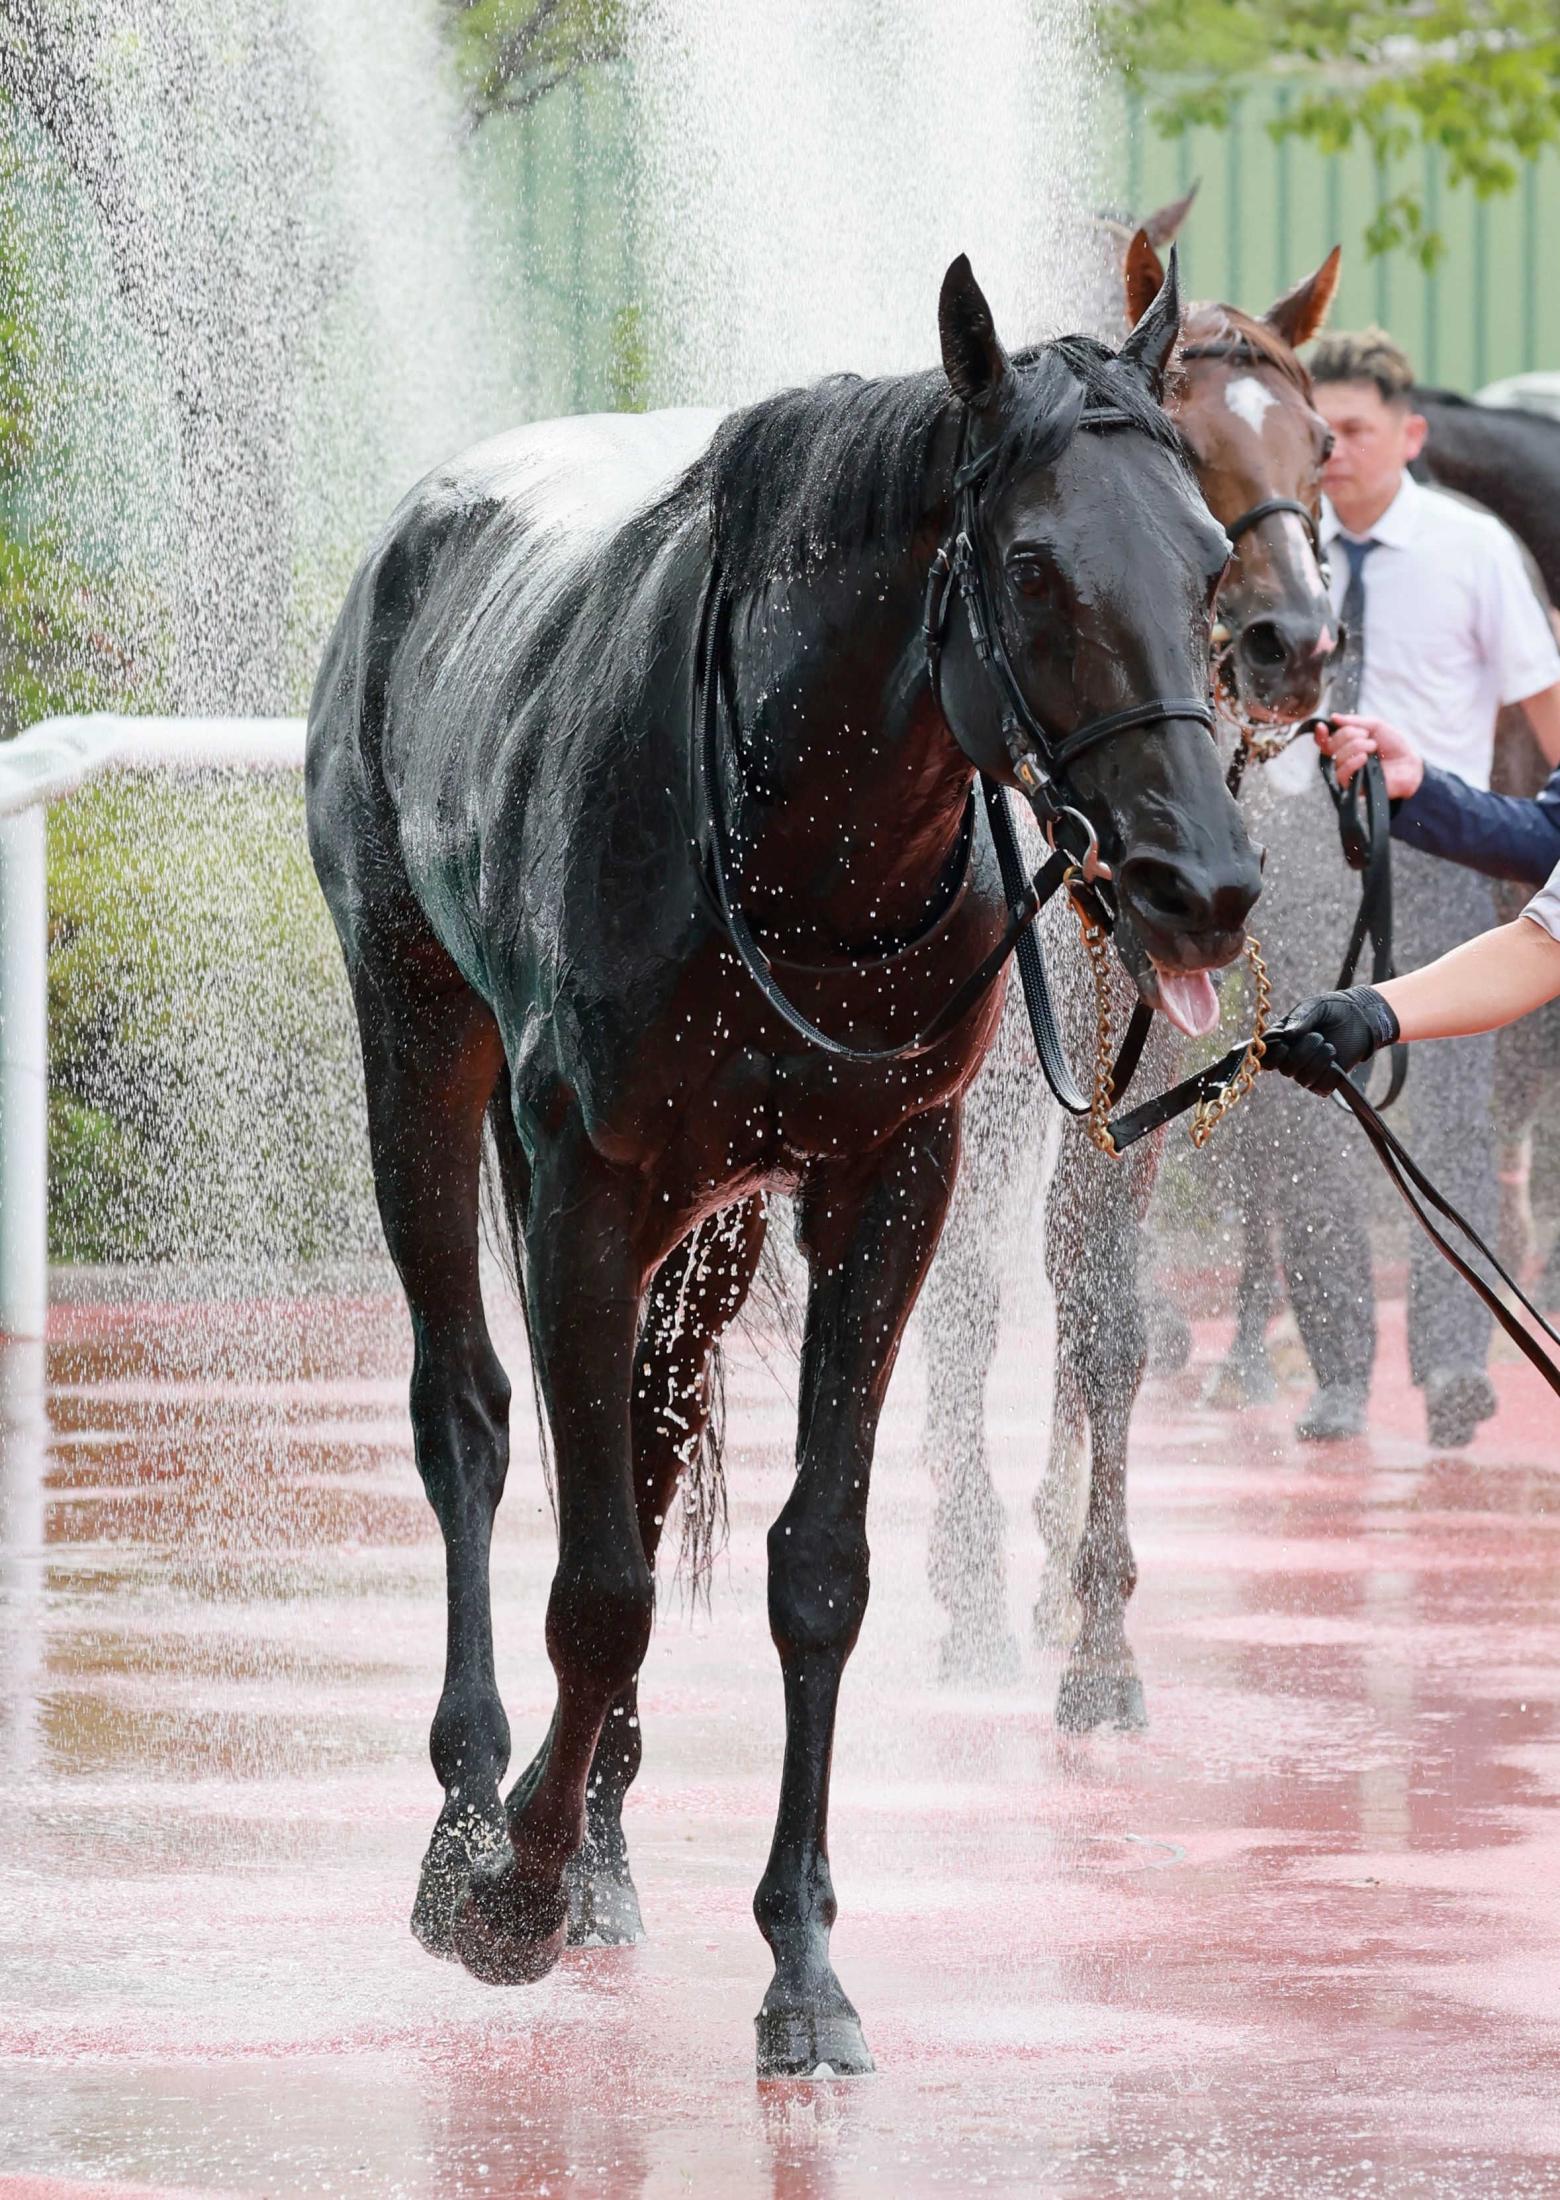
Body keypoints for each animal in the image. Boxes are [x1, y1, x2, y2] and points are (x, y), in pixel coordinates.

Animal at [310, 257, 1258, 2076]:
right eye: (1032, 564)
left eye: (1209, 561)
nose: (1207, 883)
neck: (793, 819)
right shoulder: (587, 1178)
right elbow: (596, 1580)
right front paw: (507, 1893)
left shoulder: (888, 1178)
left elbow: (815, 1567)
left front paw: (800, 1966)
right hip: (419, 1040)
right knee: (468, 1418)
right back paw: (472, 1812)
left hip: (711, 1215)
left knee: (651, 1433)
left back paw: (597, 1845)